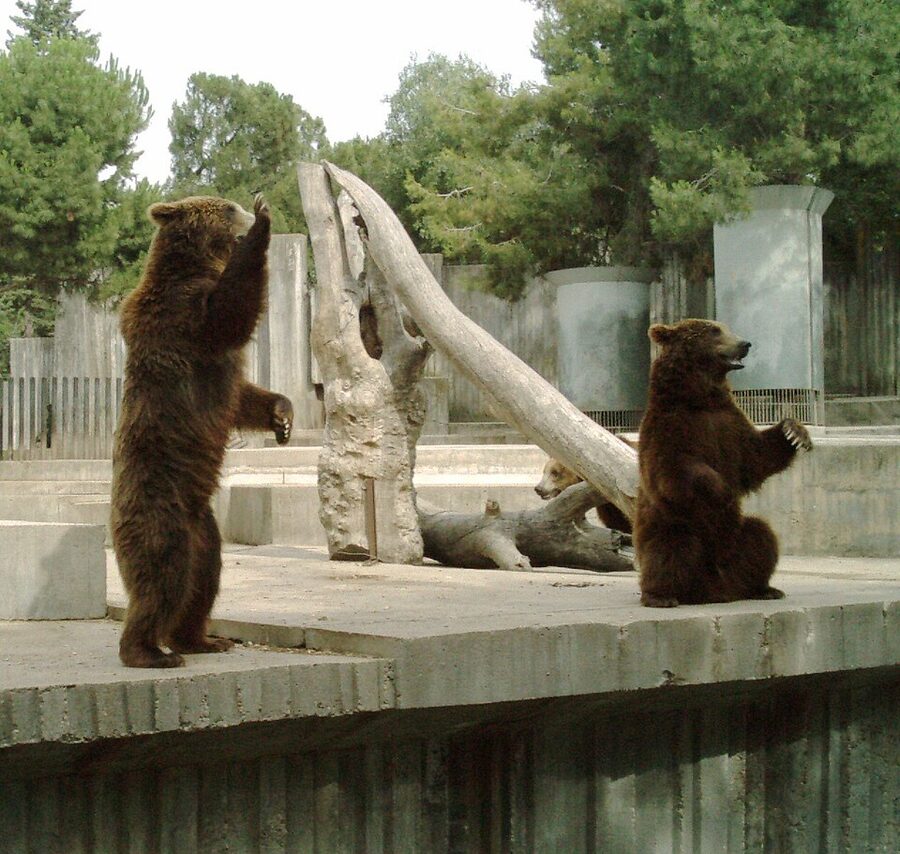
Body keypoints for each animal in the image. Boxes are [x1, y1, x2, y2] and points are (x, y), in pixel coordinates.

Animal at [111, 194, 294, 668]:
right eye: (228, 208)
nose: (246, 210)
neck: (192, 265)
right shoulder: (182, 316)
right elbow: (228, 313)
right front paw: (261, 226)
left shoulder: (214, 359)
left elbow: (240, 396)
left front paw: (282, 416)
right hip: (160, 504)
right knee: (163, 572)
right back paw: (148, 651)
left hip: (206, 528)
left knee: (204, 577)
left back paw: (200, 639)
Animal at [634, 318, 812, 607]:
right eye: (713, 331)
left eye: (724, 327)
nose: (745, 343)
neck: (700, 399)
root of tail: (715, 588)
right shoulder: (668, 427)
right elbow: (673, 469)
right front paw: (722, 489)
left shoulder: (729, 424)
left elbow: (756, 458)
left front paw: (794, 432)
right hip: (675, 523)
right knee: (671, 546)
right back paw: (661, 595)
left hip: (734, 542)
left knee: (760, 536)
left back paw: (763, 588)